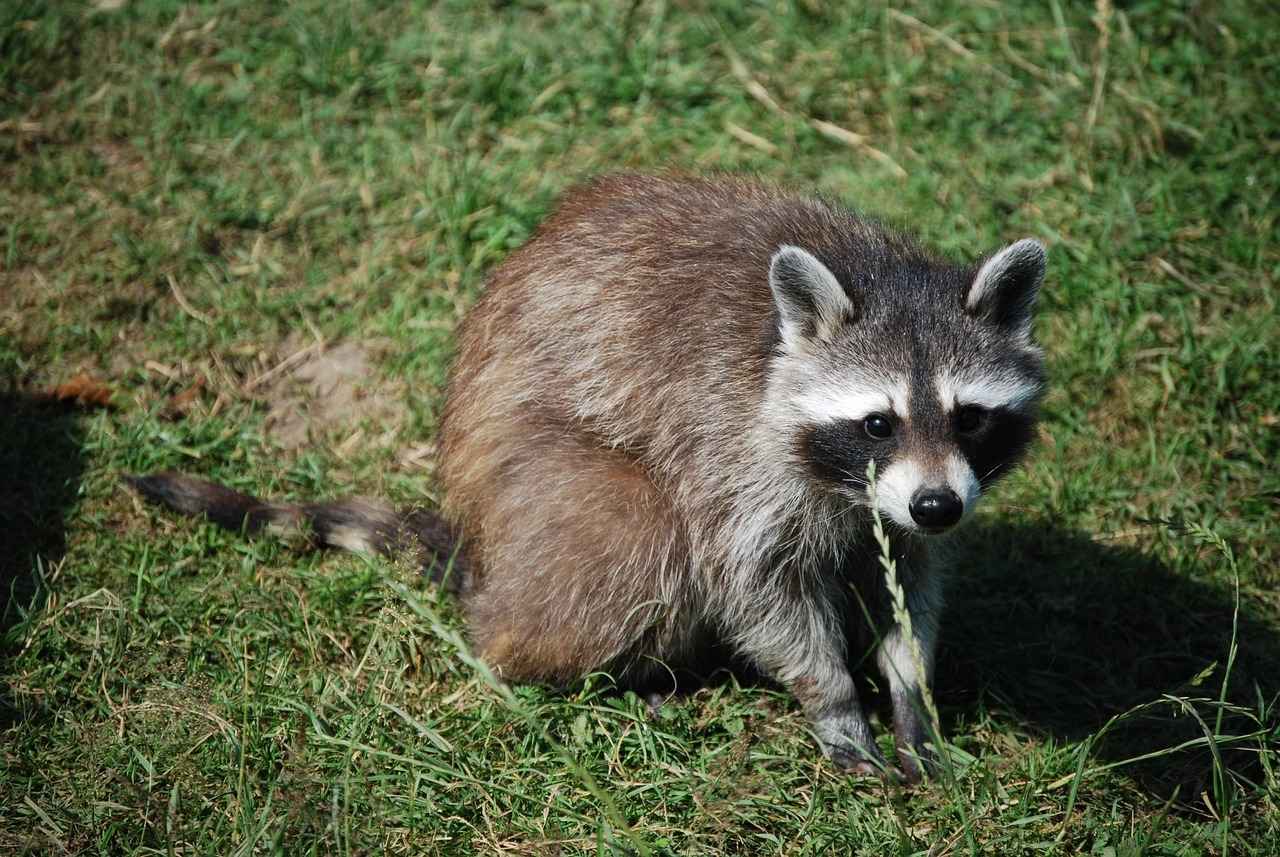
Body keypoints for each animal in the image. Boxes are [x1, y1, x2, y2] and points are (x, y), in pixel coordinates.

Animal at [129, 174, 1047, 781]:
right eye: (878, 422)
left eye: (969, 417)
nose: (937, 502)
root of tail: (478, 539)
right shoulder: (731, 446)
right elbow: (752, 583)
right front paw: (834, 701)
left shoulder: (905, 507)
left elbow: (909, 579)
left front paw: (910, 688)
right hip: (535, 483)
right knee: (638, 531)